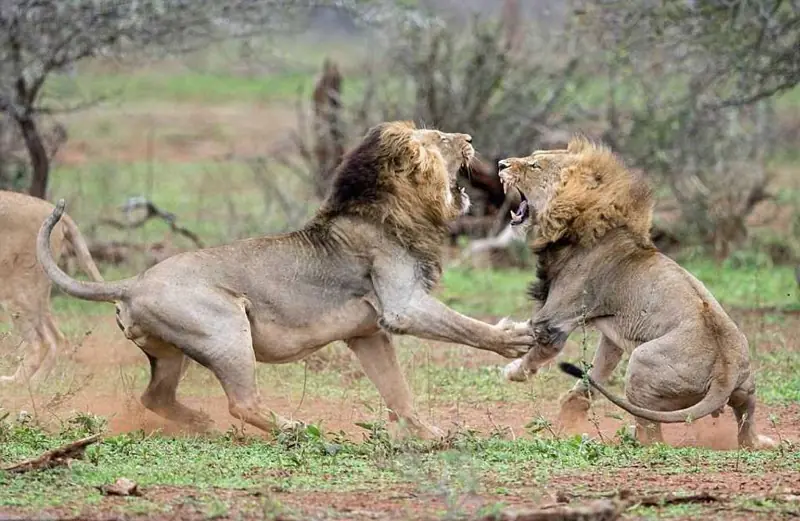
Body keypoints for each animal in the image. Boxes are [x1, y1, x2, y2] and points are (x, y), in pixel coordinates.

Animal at [0, 190, 103, 385]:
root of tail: (48, 207)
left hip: (17, 291)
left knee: (42, 342)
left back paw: (19, 383)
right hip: (37, 291)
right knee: (58, 338)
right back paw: (36, 382)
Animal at [35, 121, 534, 439]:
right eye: (442, 139)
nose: (469, 138)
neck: (396, 208)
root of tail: (131, 283)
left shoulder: (368, 333)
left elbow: (398, 391)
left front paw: (430, 434)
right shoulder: (402, 305)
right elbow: (466, 326)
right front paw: (515, 339)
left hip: (172, 351)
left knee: (154, 397)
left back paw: (199, 423)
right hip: (226, 329)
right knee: (241, 402)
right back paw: (294, 429)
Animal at [496, 136, 775, 449]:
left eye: (535, 165)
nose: (501, 164)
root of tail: (724, 373)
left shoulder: (555, 319)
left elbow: (537, 349)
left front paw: (512, 369)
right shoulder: (611, 333)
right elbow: (597, 371)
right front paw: (571, 410)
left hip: (641, 364)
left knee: (652, 433)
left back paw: (632, 439)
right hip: (746, 389)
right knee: (745, 420)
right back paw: (759, 441)